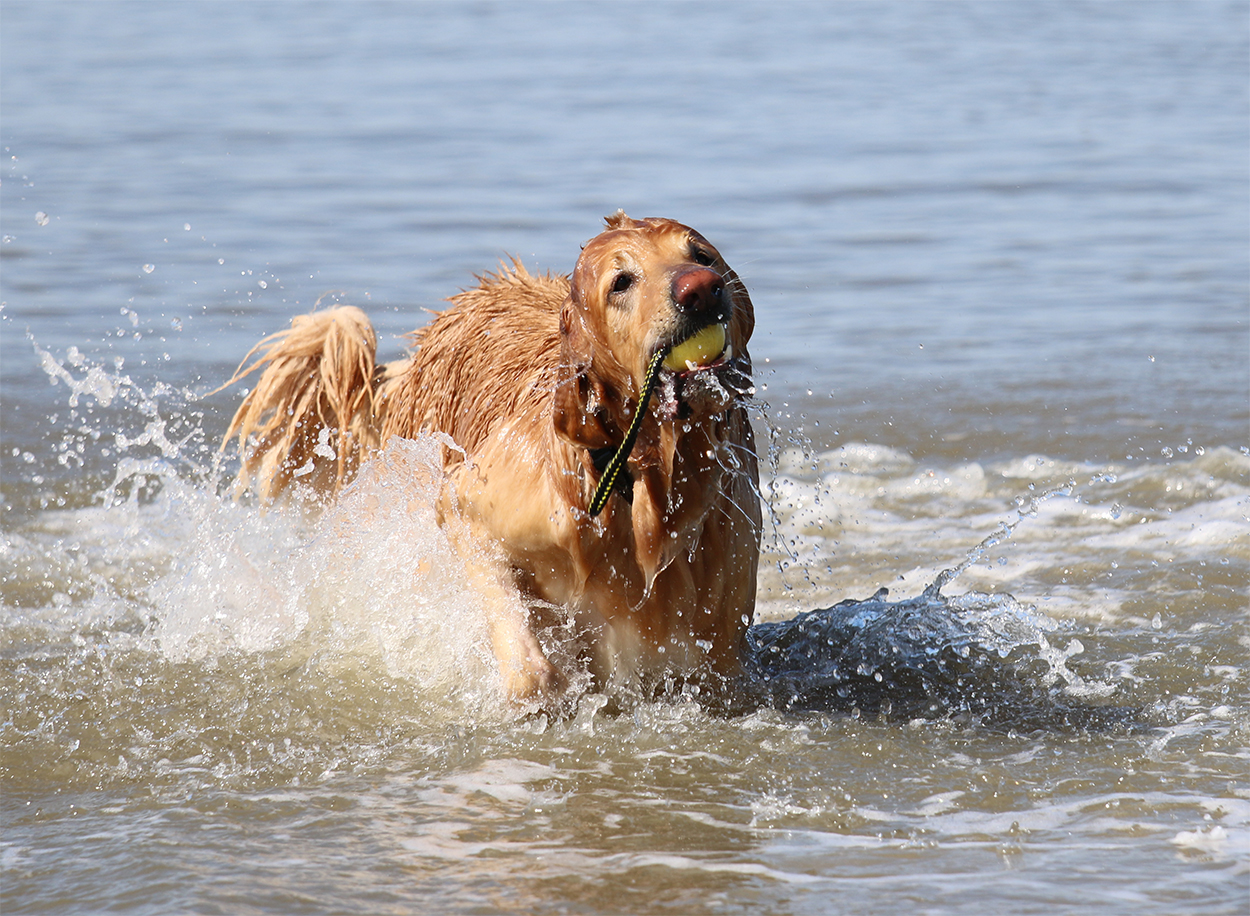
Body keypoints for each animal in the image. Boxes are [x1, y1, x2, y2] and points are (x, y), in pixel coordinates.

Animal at [220, 212, 762, 705]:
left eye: (702, 256)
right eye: (621, 282)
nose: (702, 290)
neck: (640, 474)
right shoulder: (469, 505)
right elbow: (525, 656)